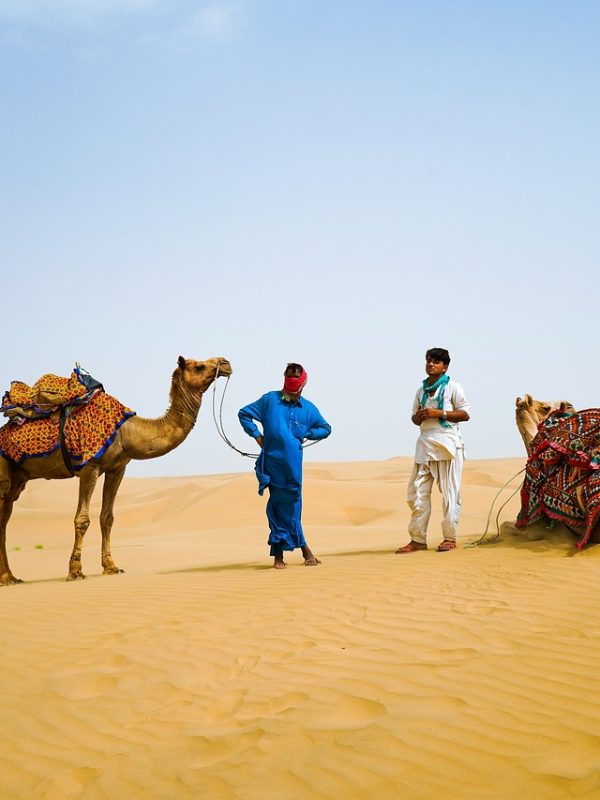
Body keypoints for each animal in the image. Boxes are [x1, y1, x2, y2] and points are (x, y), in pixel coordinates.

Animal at [0, 354, 231, 584]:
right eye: (199, 366)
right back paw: (6, 578)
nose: (226, 363)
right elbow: (82, 519)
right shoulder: (89, 466)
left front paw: (111, 567)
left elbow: (107, 518)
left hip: (18, 480)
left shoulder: (117, 469)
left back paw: (10, 576)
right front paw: (75, 571)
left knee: (4, 520)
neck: (127, 433)